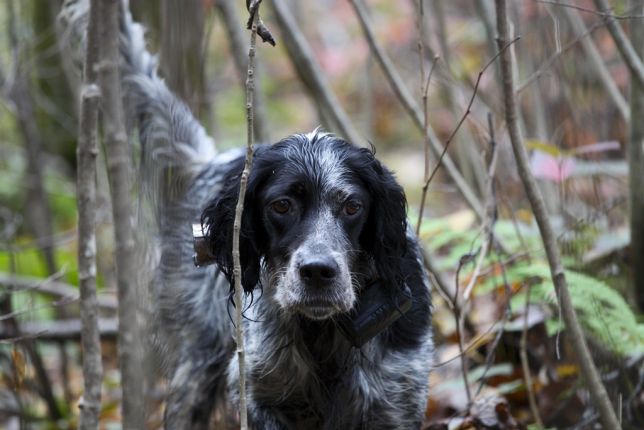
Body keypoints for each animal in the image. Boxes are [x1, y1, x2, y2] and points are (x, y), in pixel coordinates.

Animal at [61, 1, 432, 428]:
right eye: (281, 205)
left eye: (352, 206)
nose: (317, 272)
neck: (320, 335)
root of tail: (212, 160)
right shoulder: (257, 397)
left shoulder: (396, 402)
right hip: (196, 367)